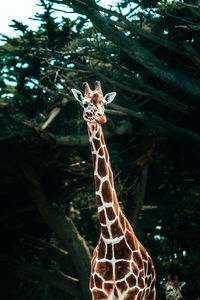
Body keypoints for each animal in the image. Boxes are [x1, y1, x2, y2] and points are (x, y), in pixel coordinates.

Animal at [72, 81, 156, 298]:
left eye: (104, 103)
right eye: (85, 103)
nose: (101, 117)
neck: (111, 236)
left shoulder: (132, 292)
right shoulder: (98, 293)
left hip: (150, 294)